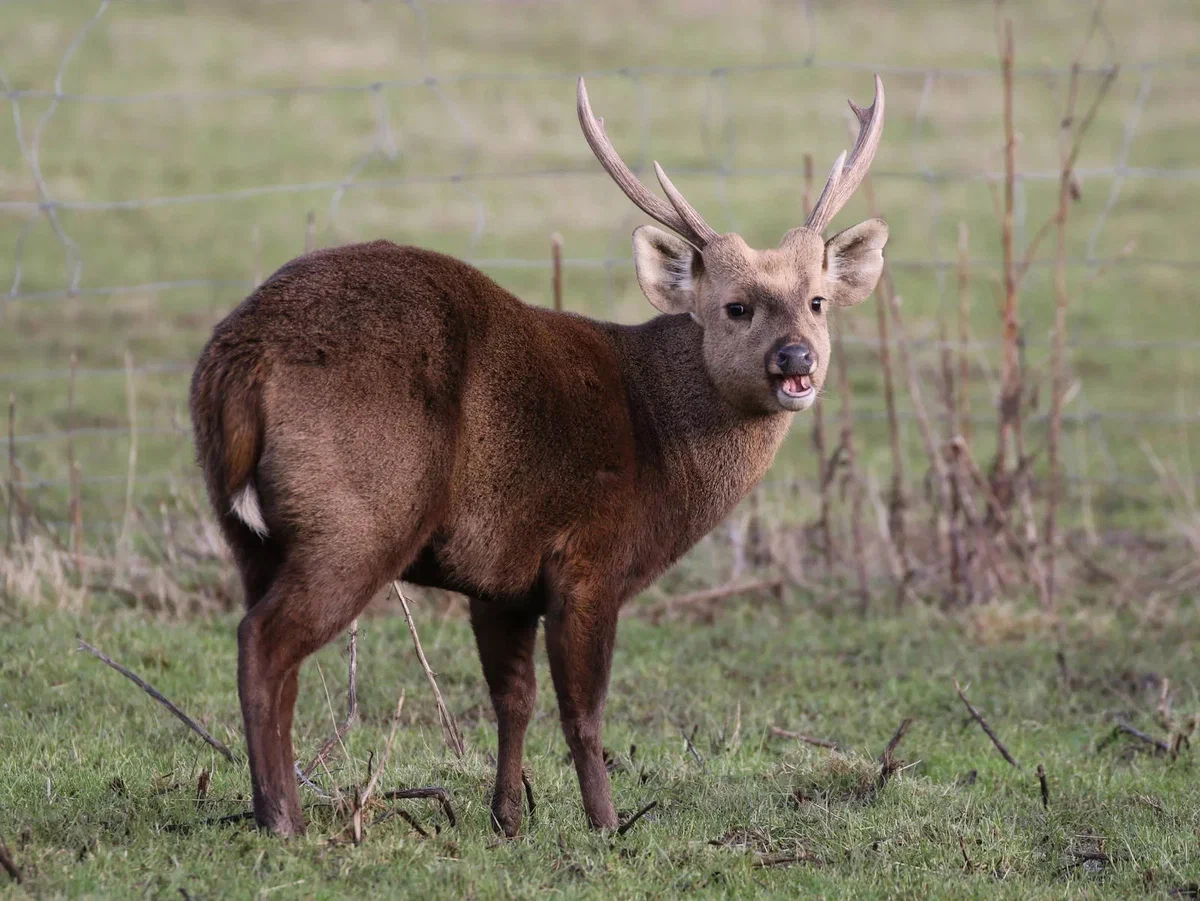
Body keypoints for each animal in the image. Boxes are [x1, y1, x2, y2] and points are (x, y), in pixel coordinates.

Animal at [192, 72, 888, 839]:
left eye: (818, 301)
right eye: (737, 306)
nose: (796, 359)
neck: (658, 437)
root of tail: (242, 359)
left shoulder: (501, 576)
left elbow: (513, 698)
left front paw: (507, 816)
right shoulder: (588, 559)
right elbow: (584, 711)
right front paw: (607, 823)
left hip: (244, 528)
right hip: (357, 515)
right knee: (263, 642)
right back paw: (282, 819)